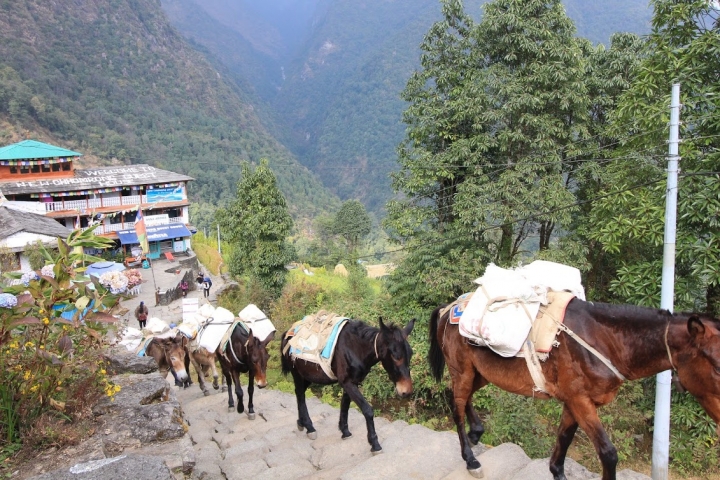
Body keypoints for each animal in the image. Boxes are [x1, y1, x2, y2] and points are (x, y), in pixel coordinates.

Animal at [282, 318, 416, 454]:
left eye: (411, 354)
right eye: (395, 356)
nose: (407, 391)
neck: (354, 349)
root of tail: (288, 333)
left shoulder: (352, 382)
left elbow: (345, 405)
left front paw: (345, 431)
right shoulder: (347, 382)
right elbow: (367, 410)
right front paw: (374, 444)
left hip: (308, 376)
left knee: (299, 393)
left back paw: (301, 423)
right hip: (297, 374)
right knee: (300, 395)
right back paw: (309, 427)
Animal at [430, 298, 720, 478]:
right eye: (717, 366)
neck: (605, 341)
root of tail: (450, 307)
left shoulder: (573, 402)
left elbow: (562, 448)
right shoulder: (581, 400)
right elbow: (608, 454)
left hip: (481, 373)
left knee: (463, 397)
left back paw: (476, 431)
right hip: (462, 370)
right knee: (456, 405)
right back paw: (470, 459)